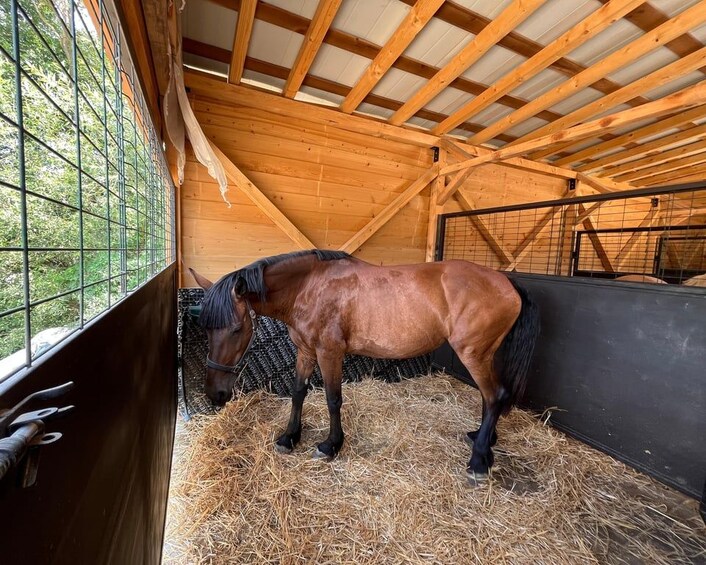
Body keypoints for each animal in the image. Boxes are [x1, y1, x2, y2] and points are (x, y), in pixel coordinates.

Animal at [189, 250, 540, 483]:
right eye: (205, 328)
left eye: (237, 329)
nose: (216, 394)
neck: (308, 286)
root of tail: (506, 283)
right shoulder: (305, 351)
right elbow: (299, 392)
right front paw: (289, 437)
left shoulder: (329, 353)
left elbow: (332, 399)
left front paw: (331, 445)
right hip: (484, 355)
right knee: (490, 397)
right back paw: (483, 439)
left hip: (473, 354)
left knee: (494, 396)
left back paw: (479, 461)